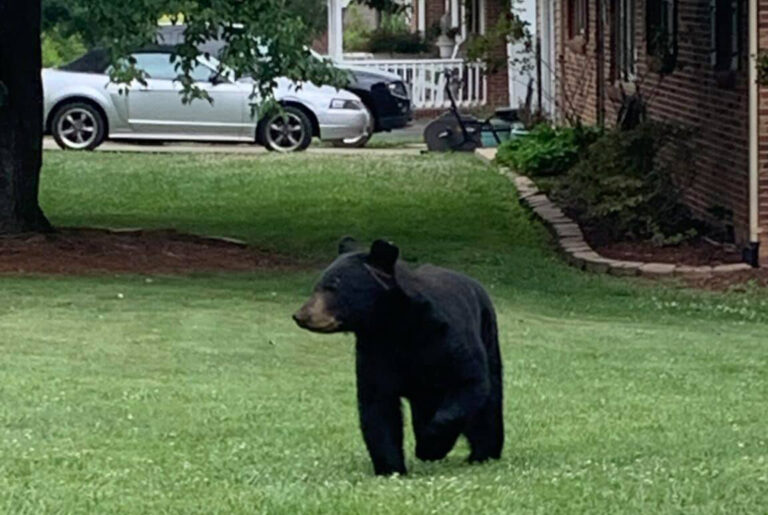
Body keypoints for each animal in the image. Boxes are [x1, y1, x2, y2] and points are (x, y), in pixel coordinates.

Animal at [292, 240, 500, 478]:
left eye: (333, 287)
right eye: (317, 286)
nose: (300, 315)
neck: (395, 327)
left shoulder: (447, 339)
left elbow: (468, 381)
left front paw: (430, 447)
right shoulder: (375, 352)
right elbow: (378, 406)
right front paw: (390, 468)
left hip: (488, 335)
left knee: (489, 403)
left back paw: (484, 453)